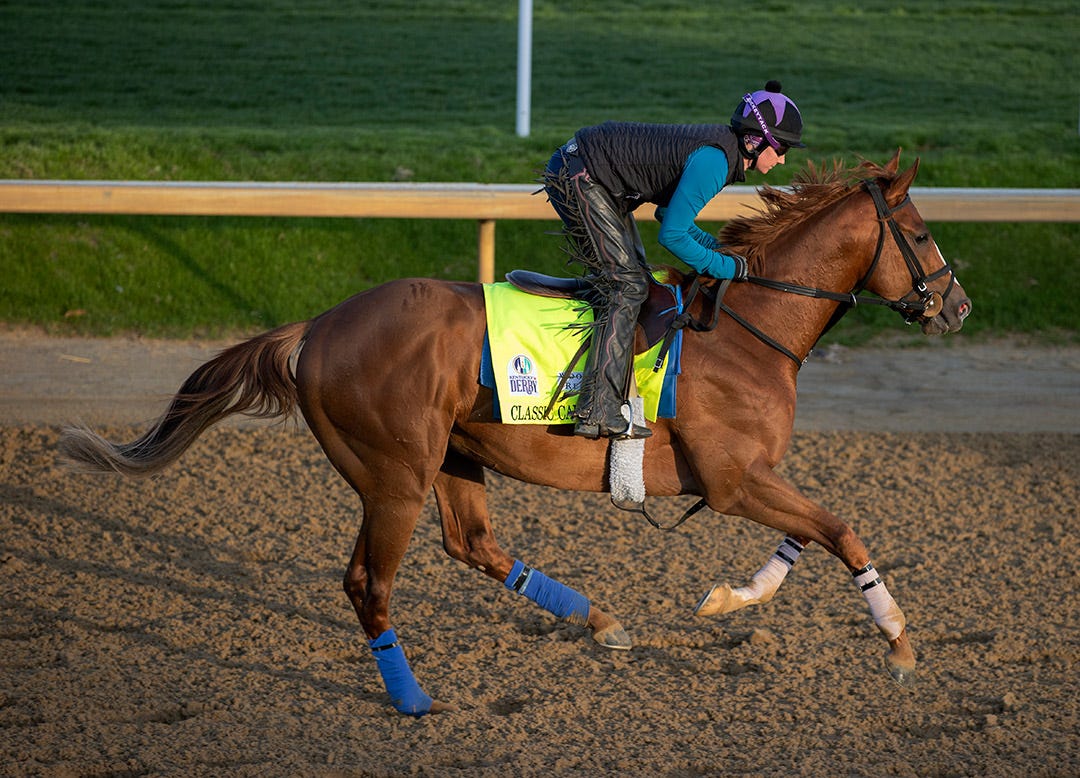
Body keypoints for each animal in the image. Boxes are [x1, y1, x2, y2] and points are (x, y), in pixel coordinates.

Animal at [56, 152, 972, 717]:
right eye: (924, 234)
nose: (958, 305)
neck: (747, 327)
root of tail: (316, 329)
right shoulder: (732, 478)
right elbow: (839, 529)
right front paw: (897, 643)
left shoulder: (750, 476)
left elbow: (810, 534)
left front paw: (730, 598)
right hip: (394, 472)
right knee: (368, 583)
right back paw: (412, 697)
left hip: (455, 455)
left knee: (474, 545)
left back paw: (598, 619)